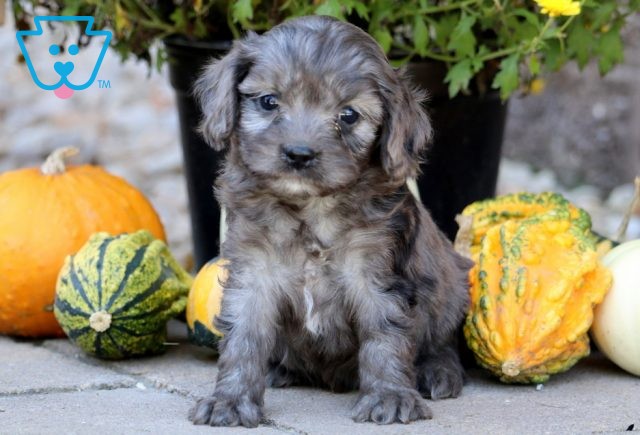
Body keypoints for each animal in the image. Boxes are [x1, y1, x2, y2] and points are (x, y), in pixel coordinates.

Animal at [188, 14, 472, 430]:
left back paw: (438, 371)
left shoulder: (376, 275)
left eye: (348, 115)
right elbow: (243, 337)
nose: (299, 154)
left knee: (442, 340)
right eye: (269, 101)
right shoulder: (254, 271)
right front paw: (230, 400)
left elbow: (384, 334)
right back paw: (279, 369)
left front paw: (390, 396)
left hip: (450, 288)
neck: (311, 207)